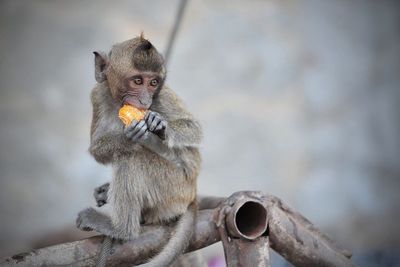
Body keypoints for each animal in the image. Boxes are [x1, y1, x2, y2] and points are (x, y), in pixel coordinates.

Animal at [76, 34, 203, 266]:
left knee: (132, 159)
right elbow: (97, 147)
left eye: (153, 83)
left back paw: (121, 229)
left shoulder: (162, 96)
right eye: (137, 81)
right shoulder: (97, 94)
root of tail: (192, 194)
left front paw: (160, 126)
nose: (145, 101)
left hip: (174, 187)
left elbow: (195, 130)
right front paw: (128, 137)